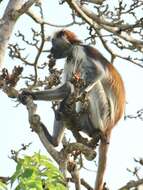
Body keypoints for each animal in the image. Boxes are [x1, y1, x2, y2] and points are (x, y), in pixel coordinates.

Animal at [19, 29, 125, 190]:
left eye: (53, 43)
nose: (50, 50)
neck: (73, 48)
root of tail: (110, 126)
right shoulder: (69, 58)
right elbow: (66, 87)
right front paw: (30, 94)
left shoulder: (80, 51)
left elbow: (98, 73)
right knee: (69, 97)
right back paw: (55, 140)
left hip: (104, 114)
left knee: (92, 87)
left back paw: (94, 129)